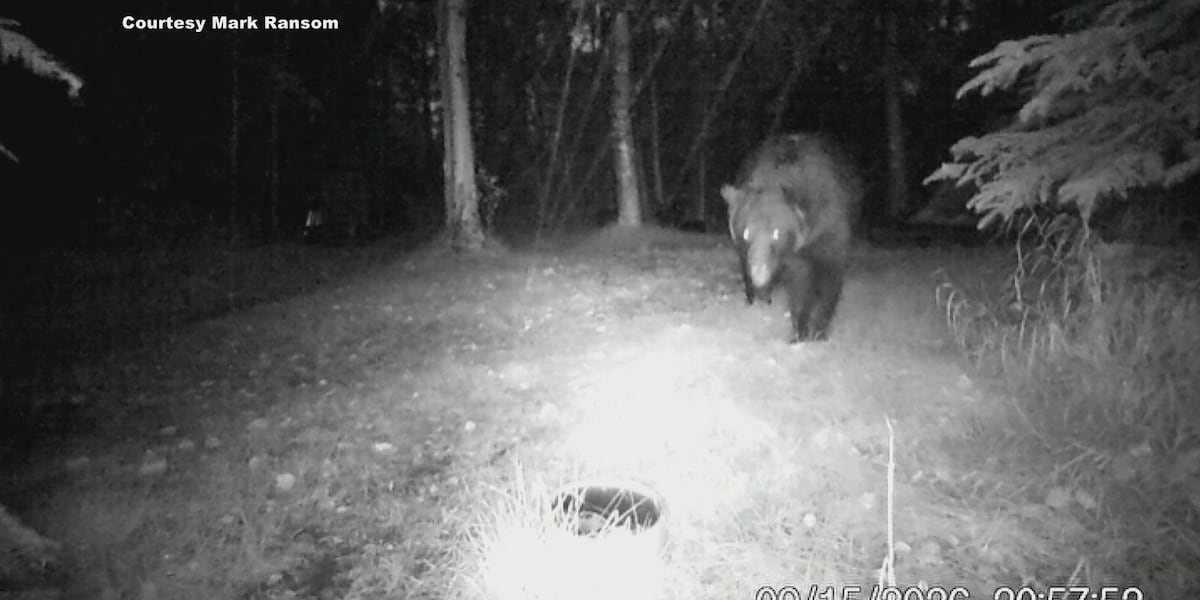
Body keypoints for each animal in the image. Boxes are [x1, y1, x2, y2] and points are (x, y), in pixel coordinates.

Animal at [721, 133, 862, 343]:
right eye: (746, 233)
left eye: (776, 232)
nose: (759, 274)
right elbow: (799, 284)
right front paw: (799, 333)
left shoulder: (832, 228)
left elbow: (829, 277)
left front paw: (818, 331)